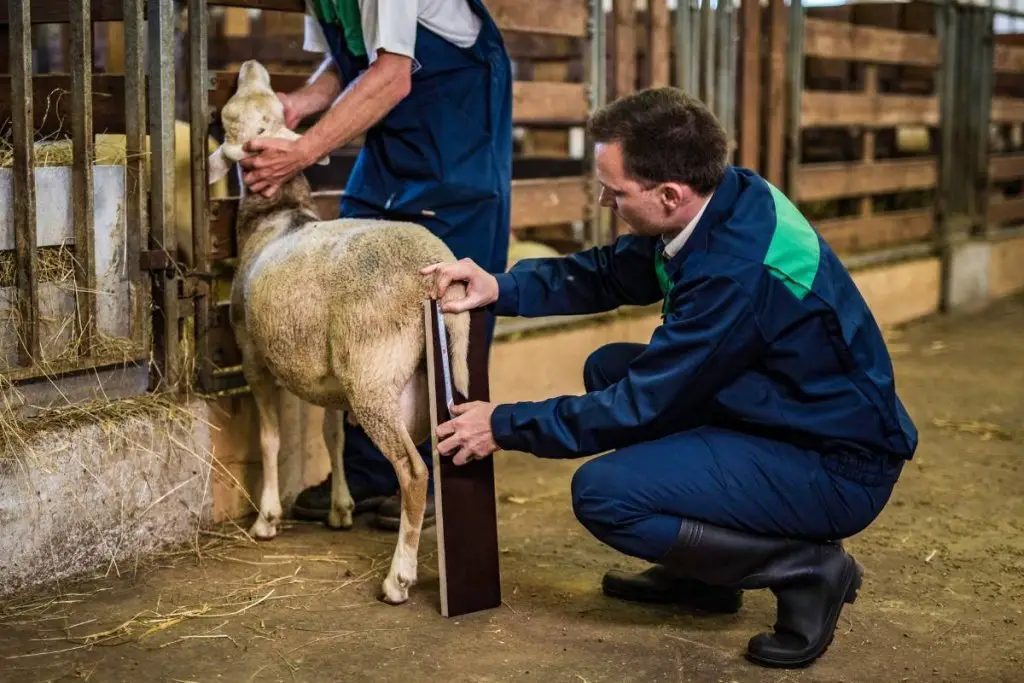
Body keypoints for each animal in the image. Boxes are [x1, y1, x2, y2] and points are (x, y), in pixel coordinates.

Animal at [204, 58, 475, 602]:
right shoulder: (326, 377)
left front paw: (267, 518)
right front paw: (340, 508)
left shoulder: (252, 355)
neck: (279, 217)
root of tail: (436, 273)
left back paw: (398, 578)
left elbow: (270, 439)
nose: (250, 64)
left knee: (413, 471)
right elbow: (332, 436)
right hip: (432, 368)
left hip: (372, 377)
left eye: (232, 118)